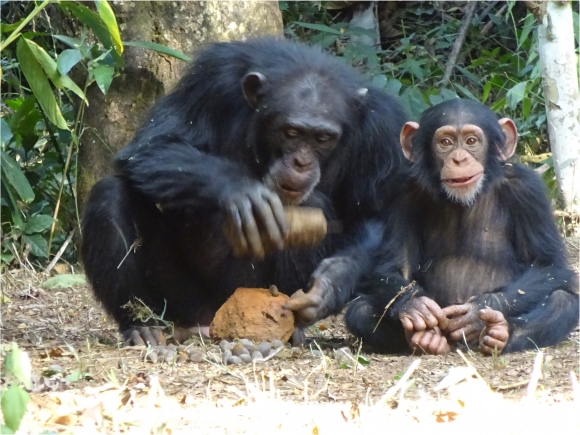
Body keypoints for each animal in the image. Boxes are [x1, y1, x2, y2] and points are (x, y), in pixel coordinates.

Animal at [81, 39, 408, 350]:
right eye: (291, 132)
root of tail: (212, 321)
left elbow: (372, 214)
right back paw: (140, 326)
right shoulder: (211, 79)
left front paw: (329, 285)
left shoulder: (381, 128)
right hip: (181, 302)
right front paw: (242, 192)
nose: (301, 163)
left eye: (323, 138)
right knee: (110, 196)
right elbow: (153, 145)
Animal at [346, 99, 576, 358]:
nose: (458, 159)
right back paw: (425, 339)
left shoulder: (528, 189)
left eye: (471, 141)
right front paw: (415, 304)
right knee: (359, 309)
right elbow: (394, 265)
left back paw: (499, 333)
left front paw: (477, 311)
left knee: (563, 301)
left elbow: (548, 264)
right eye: (445, 142)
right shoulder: (402, 191)